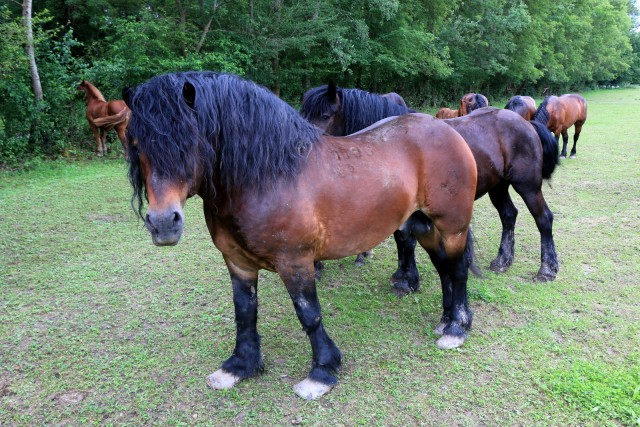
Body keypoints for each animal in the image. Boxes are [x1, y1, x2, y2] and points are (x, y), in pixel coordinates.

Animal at [122, 71, 478, 402]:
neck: (269, 178)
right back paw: (446, 320)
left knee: (458, 270)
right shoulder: (237, 262)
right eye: (137, 145)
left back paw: (456, 328)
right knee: (444, 269)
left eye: (188, 142)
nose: (163, 222)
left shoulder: (295, 262)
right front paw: (240, 366)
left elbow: (309, 314)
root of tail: (446, 130)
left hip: (452, 226)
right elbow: (244, 312)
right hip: (424, 226)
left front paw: (322, 371)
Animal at [302, 84, 560, 296]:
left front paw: (407, 281)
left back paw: (547, 270)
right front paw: (401, 274)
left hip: (527, 186)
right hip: (498, 188)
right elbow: (401, 239)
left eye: (324, 116)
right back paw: (503, 261)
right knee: (508, 216)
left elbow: (407, 241)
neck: (393, 145)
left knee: (543, 219)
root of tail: (525, 123)